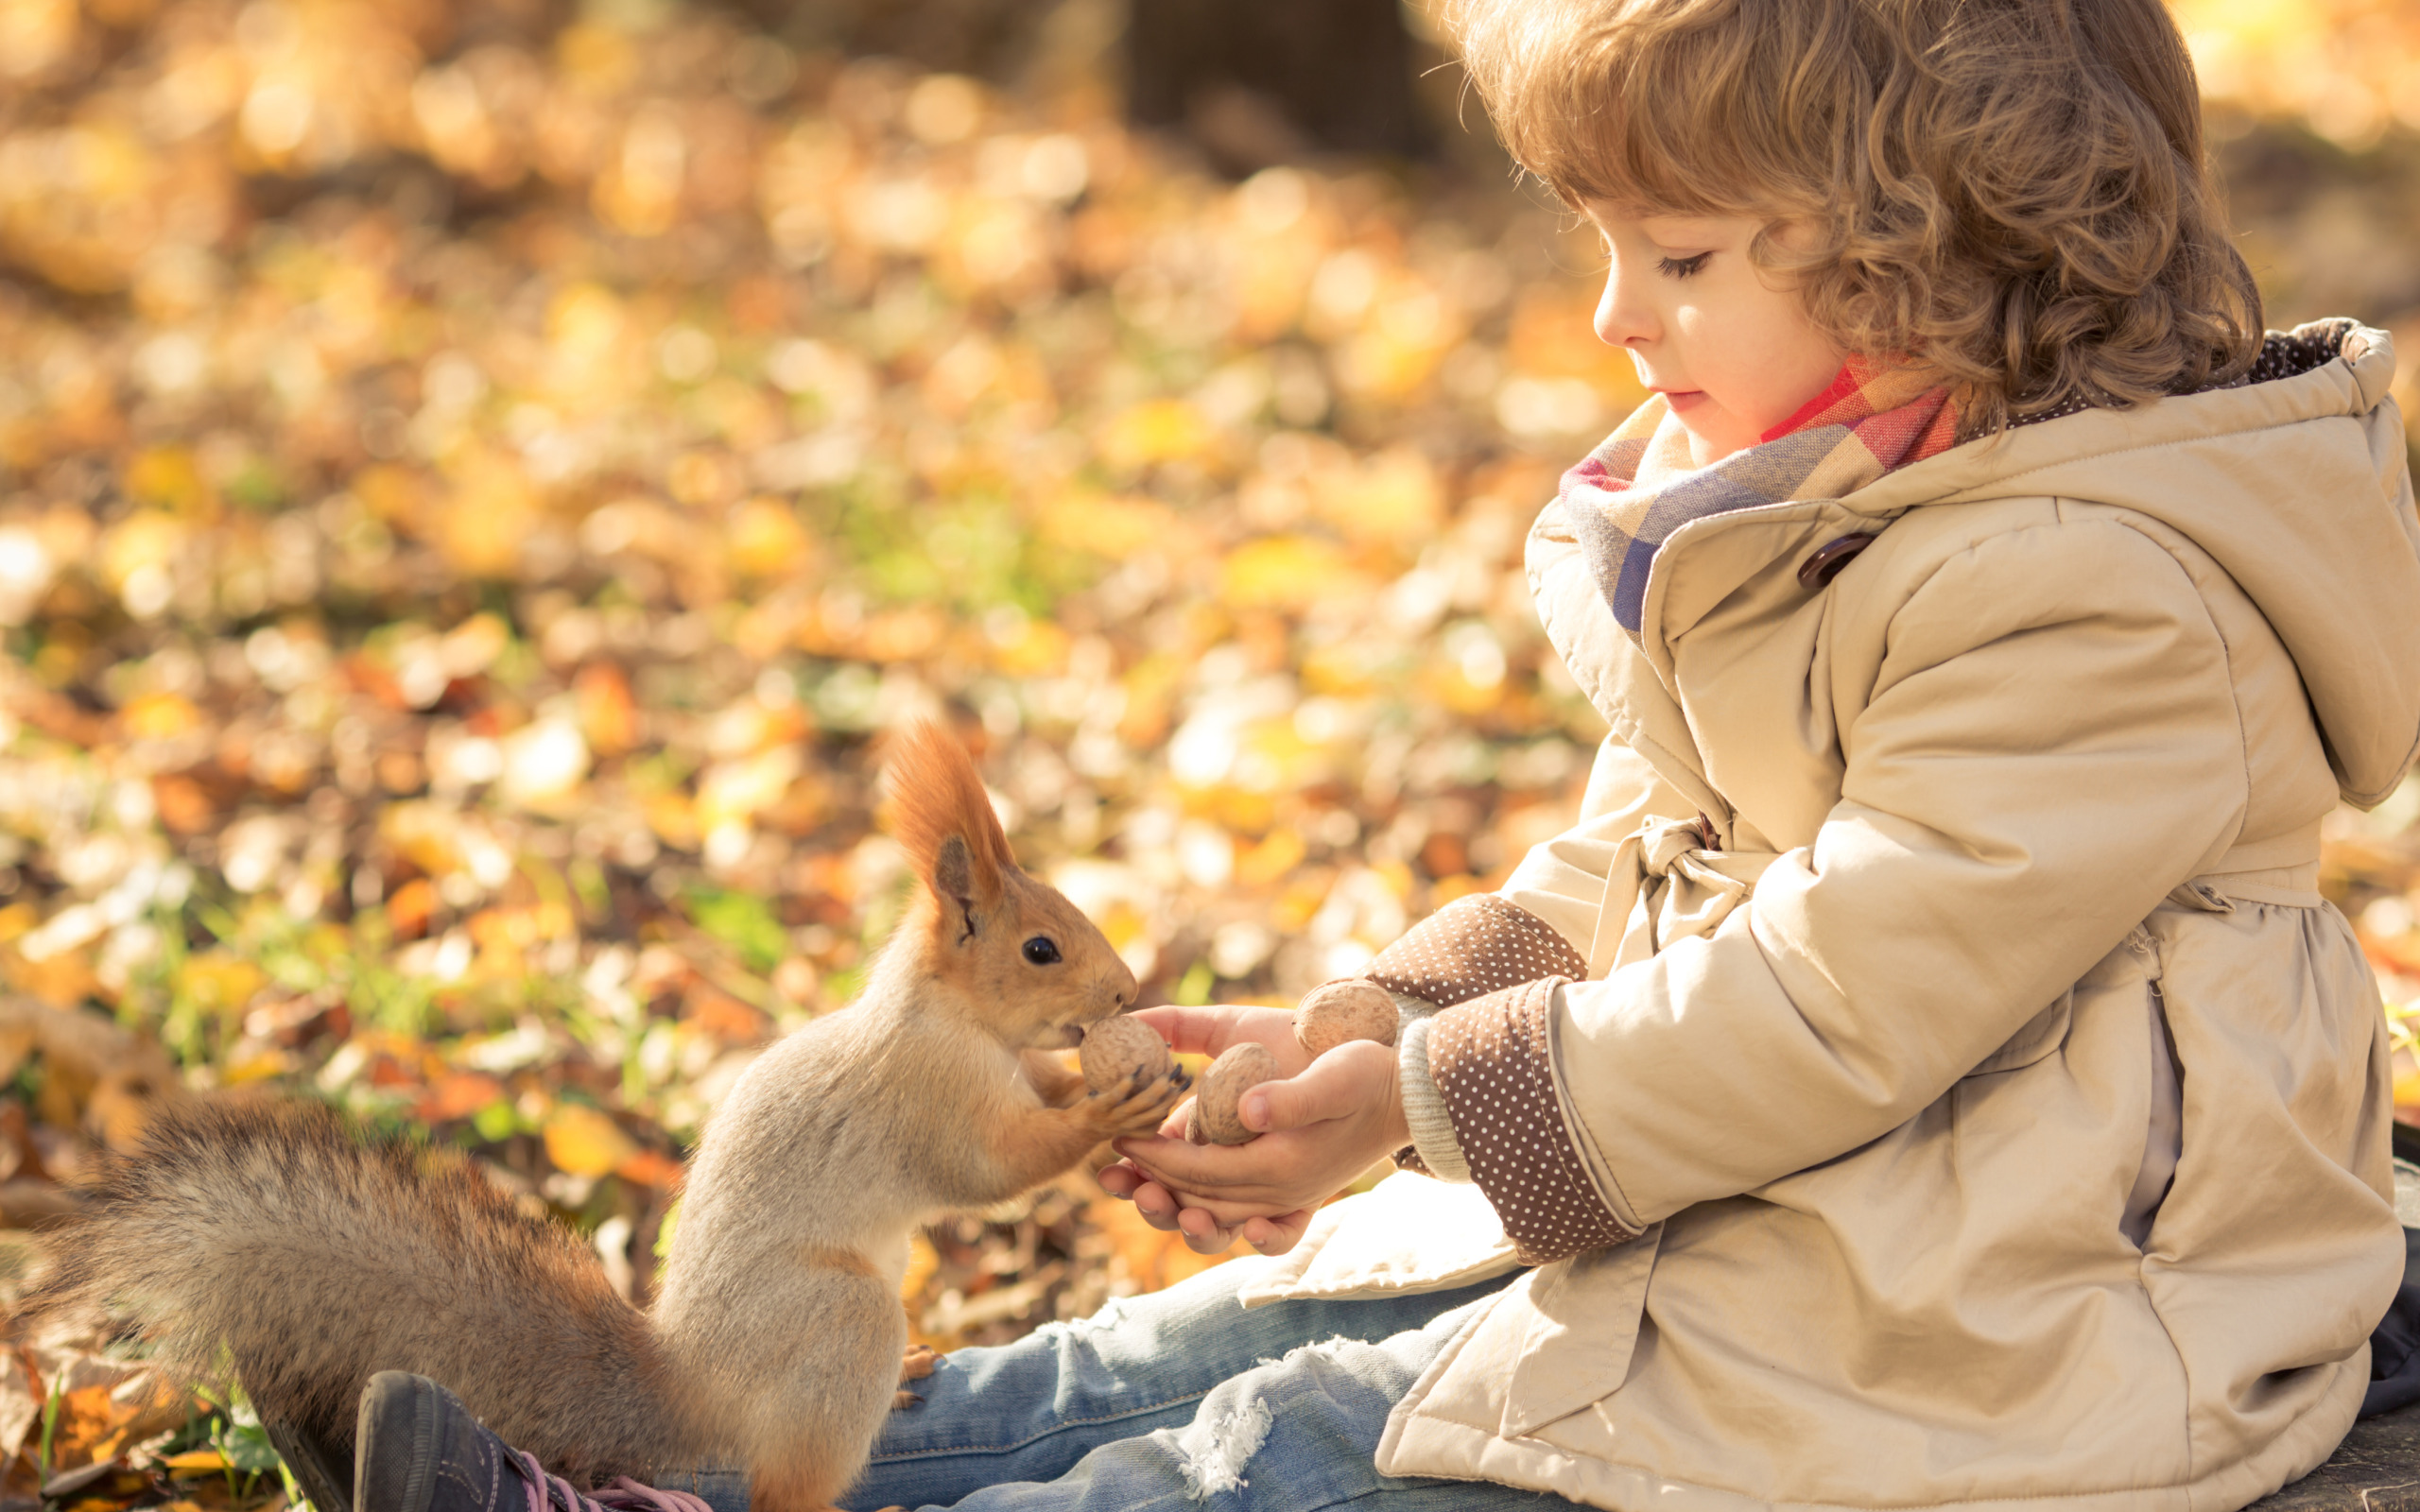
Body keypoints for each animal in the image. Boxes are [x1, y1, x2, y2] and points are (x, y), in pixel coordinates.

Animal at [23, 715, 1185, 1509]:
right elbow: (992, 1168)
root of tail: (693, 1388)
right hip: (839, 1316)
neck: (948, 1014)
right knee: (785, 1490)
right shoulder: (929, 1092)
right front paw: (1109, 1104)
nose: (1128, 991)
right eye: (1041, 947)